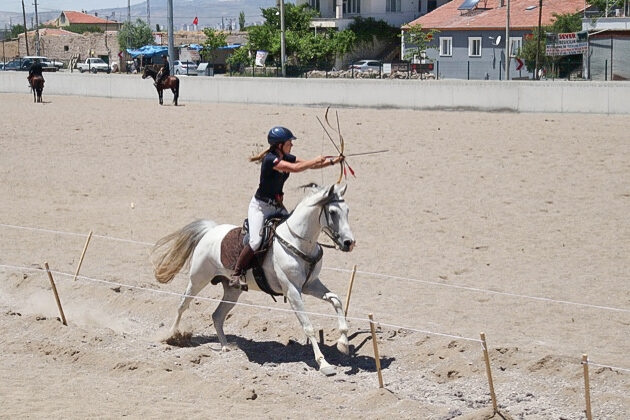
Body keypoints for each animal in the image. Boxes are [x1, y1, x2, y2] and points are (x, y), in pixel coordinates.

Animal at [153, 185, 356, 376]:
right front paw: (324, 364)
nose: (349, 243)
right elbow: (308, 327)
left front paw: (343, 344)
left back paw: (226, 346)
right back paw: (172, 336)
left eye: (347, 210)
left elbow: (336, 300)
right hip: (198, 279)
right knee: (183, 304)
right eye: (332, 212)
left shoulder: (310, 285)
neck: (297, 242)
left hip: (232, 291)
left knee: (217, 315)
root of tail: (211, 230)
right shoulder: (292, 291)